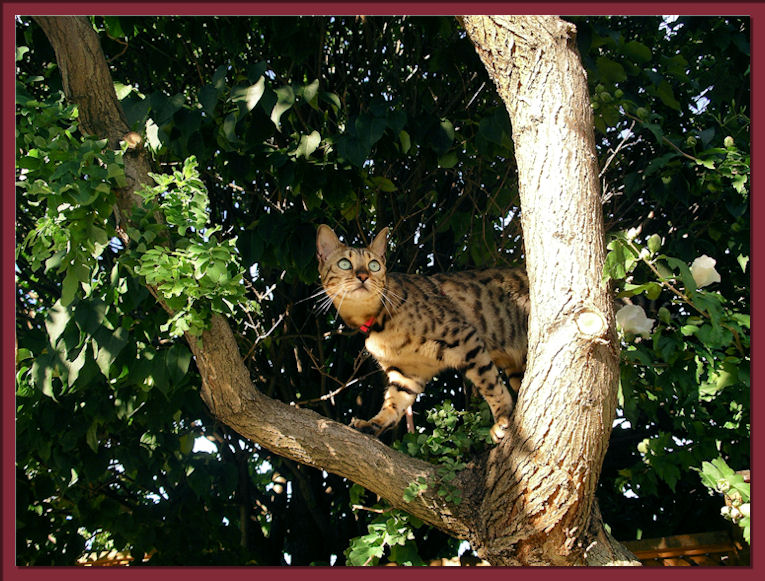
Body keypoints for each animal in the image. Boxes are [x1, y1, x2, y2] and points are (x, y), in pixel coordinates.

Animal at [316, 224, 532, 442]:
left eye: (374, 265)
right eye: (344, 263)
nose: (363, 276)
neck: (379, 322)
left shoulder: (465, 338)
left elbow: (490, 383)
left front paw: (503, 417)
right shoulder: (406, 373)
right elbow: (393, 404)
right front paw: (373, 424)